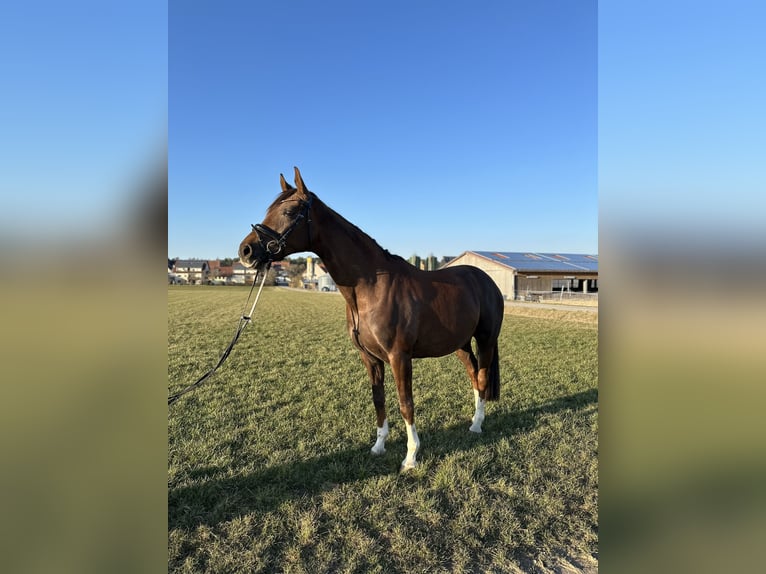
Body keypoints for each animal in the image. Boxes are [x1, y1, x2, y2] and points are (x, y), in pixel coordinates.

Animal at [238, 167, 504, 470]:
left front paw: (411, 457)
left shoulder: (399, 357)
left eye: (290, 211)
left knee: (481, 376)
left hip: (485, 340)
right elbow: (379, 400)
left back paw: (477, 425)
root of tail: (485, 280)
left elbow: (405, 403)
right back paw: (472, 421)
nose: (246, 251)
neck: (370, 288)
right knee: (473, 374)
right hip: (459, 343)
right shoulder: (370, 357)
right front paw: (379, 446)